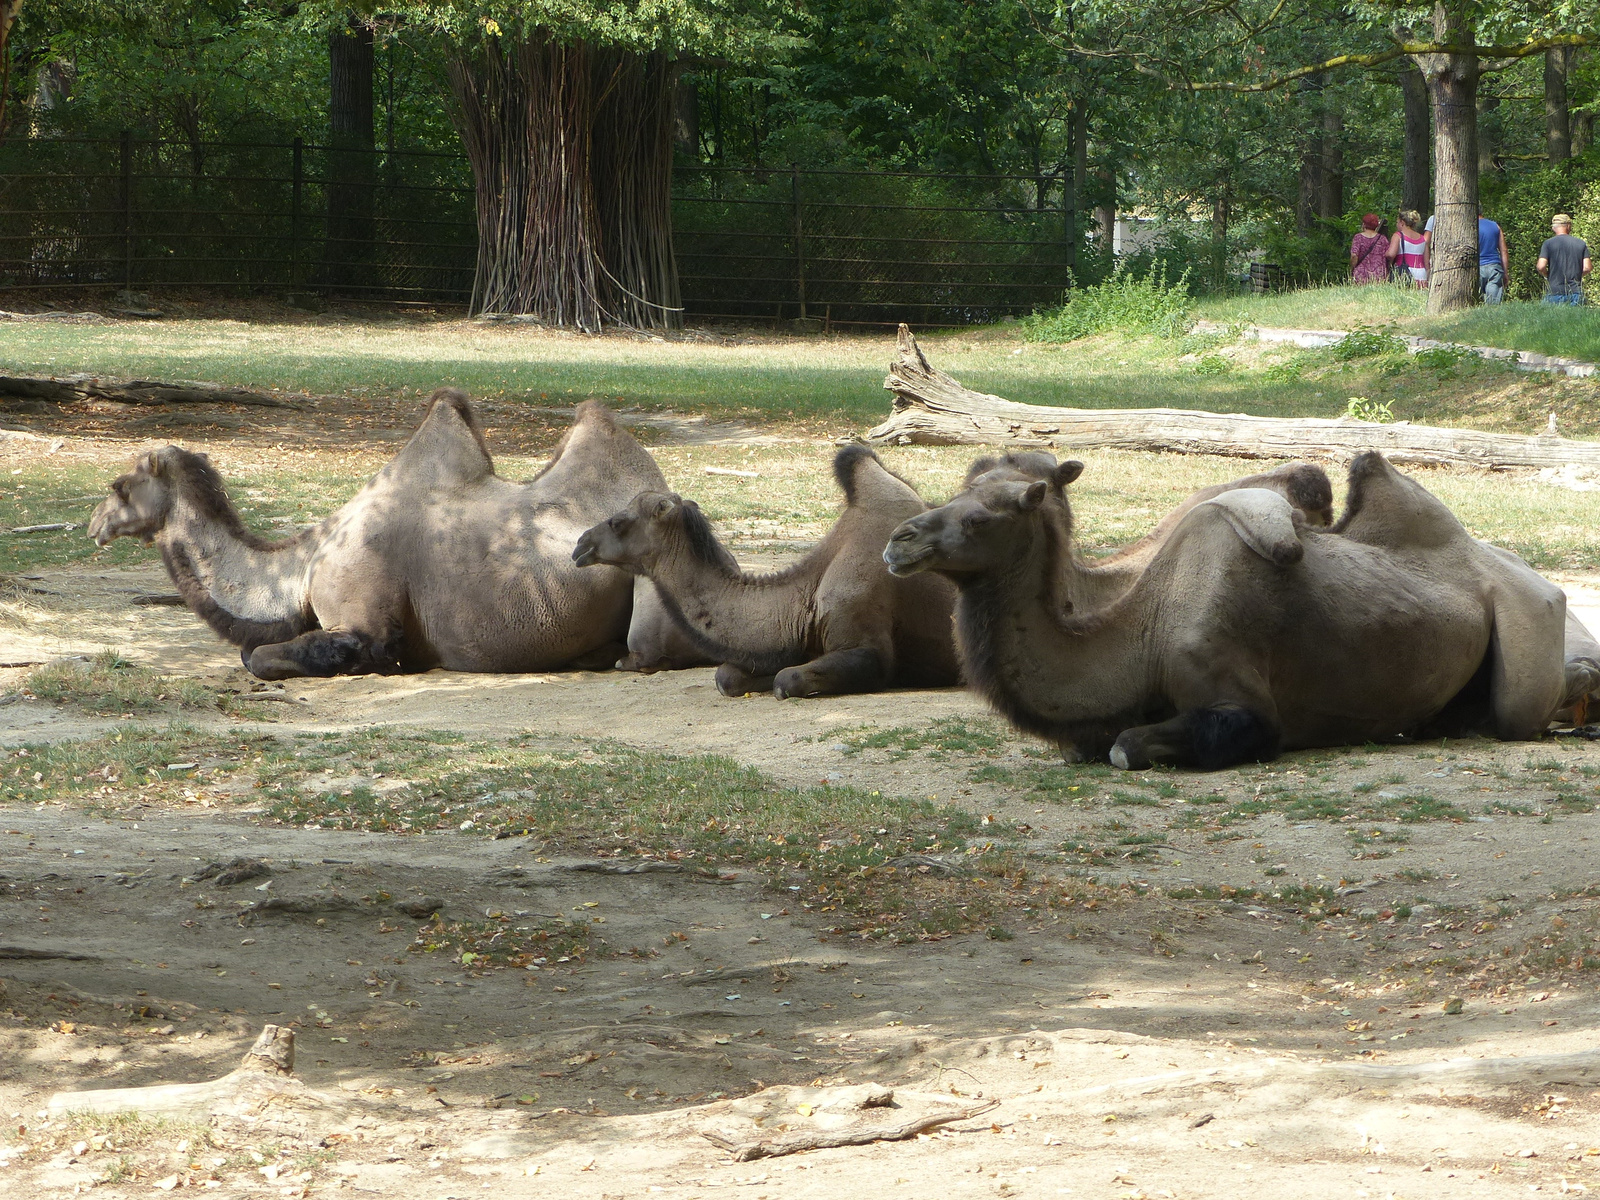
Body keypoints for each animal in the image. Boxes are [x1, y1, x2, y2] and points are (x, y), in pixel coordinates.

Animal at [87, 392, 710, 681]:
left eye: (120, 485)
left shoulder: (364, 619)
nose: (94, 525)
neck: (305, 563)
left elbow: (259, 655)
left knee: (648, 651)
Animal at [569, 448, 953, 700]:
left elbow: (786, 681)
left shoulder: (867, 646)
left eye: (619, 521)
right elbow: (726, 676)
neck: (805, 598)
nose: (580, 545)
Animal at [883, 451, 1593, 771]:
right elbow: (1099, 743)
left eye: (979, 518)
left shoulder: (1244, 704)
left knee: (1520, 711)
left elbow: (1126, 746)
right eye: (955, 493)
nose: (900, 540)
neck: (1142, 633)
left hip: (1527, 624)